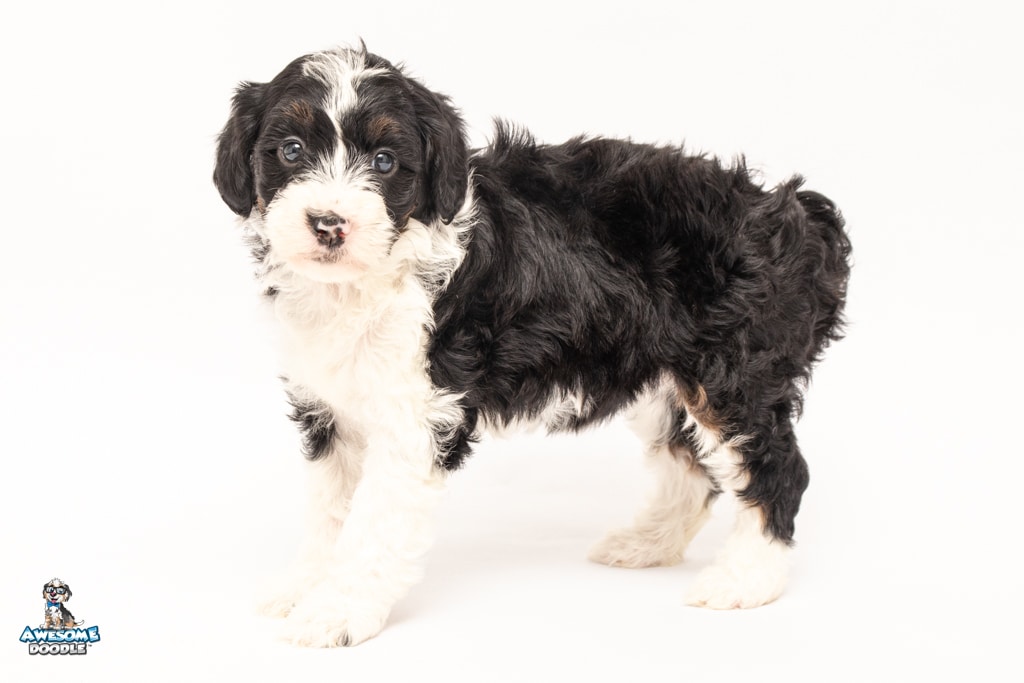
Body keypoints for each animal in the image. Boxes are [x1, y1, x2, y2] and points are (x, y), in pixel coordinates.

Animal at [213, 44, 851, 647]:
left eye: (384, 161)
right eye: (291, 150)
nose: (328, 223)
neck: (362, 282)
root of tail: (795, 213)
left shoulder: (417, 413)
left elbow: (372, 524)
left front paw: (338, 613)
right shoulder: (330, 409)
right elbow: (330, 511)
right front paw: (304, 587)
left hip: (732, 373)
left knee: (777, 467)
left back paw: (745, 580)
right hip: (663, 373)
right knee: (691, 465)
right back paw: (647, 544)